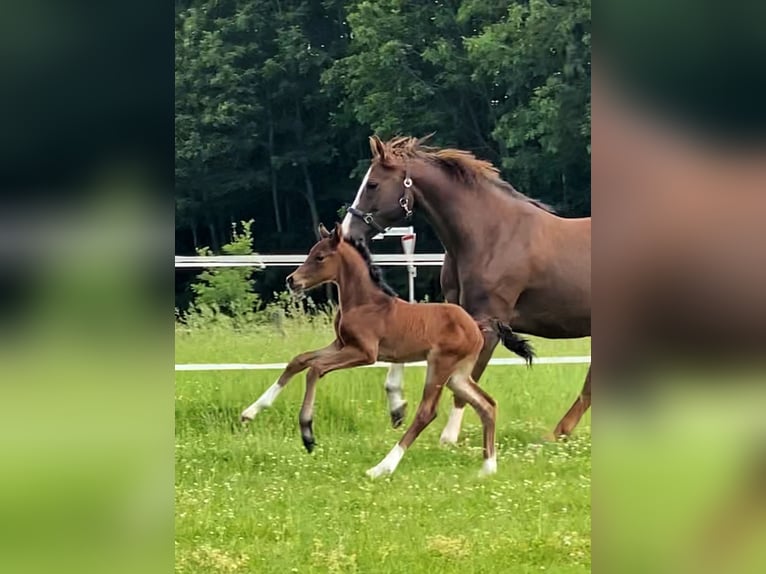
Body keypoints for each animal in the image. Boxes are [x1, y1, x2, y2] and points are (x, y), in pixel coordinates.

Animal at [240, 225, 536, 482]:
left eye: (320, 257)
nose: (292, 281)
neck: (365, 303)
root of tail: (476, 324)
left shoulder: (365, 352)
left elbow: (315, 369)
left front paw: (308, 434)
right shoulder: (340, 344)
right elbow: (299, 360)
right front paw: (250, 412)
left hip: (440, 364)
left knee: (427, 412)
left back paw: (382, 467)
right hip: (458, 375)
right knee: (487, 404)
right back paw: (488, 467)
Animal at [344, 135, 592, 440]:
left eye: (373, 184)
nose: (347, 233)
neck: (490, 235)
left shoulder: (487, 322)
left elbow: (465, 380)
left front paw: (448, 438)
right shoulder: (454, 315)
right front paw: (397, 405)